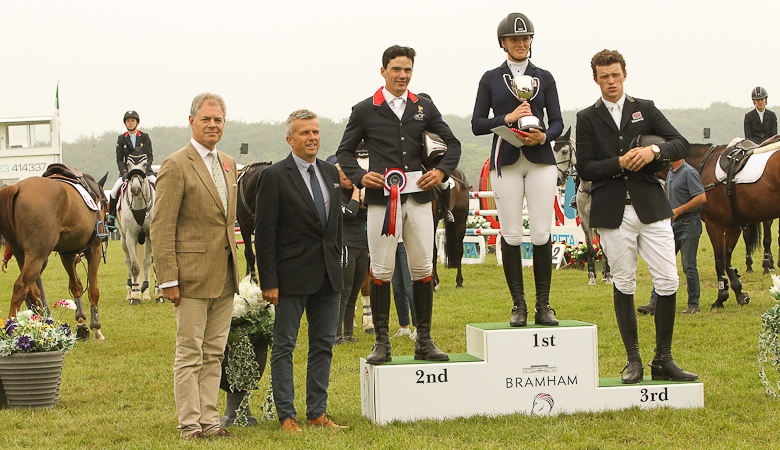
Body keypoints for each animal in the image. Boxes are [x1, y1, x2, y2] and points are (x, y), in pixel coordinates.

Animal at [0, 174, 108, 340]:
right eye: (106, 201)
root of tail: (16, 187)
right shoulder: (94, 250)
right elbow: (93, 290)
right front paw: (96, 327)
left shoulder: (67, 254)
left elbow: (76, 286)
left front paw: (81, 322)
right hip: (37, 255)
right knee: (20, 287)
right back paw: (11, 330)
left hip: (20, 254)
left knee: (33, 292)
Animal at [684, 144, 776, 310]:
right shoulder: (734, 226)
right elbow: (727, 257)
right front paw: (739, 292)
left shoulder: (715, 225)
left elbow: (720, 260)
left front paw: (721, 297)